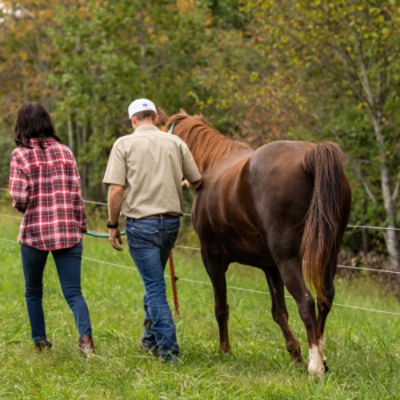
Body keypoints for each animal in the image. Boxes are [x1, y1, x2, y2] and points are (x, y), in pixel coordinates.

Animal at [158, 108, 352, 376]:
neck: (212, 165)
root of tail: (308, 157)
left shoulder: (212, 258)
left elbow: (221, 307)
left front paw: (224, 351)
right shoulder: (270, 267)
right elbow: (279, 312)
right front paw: (295, 355)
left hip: (290, 260)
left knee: (306, 301)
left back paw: (315, 366)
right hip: (328, 255)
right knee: (325, 297)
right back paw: (321, 358)